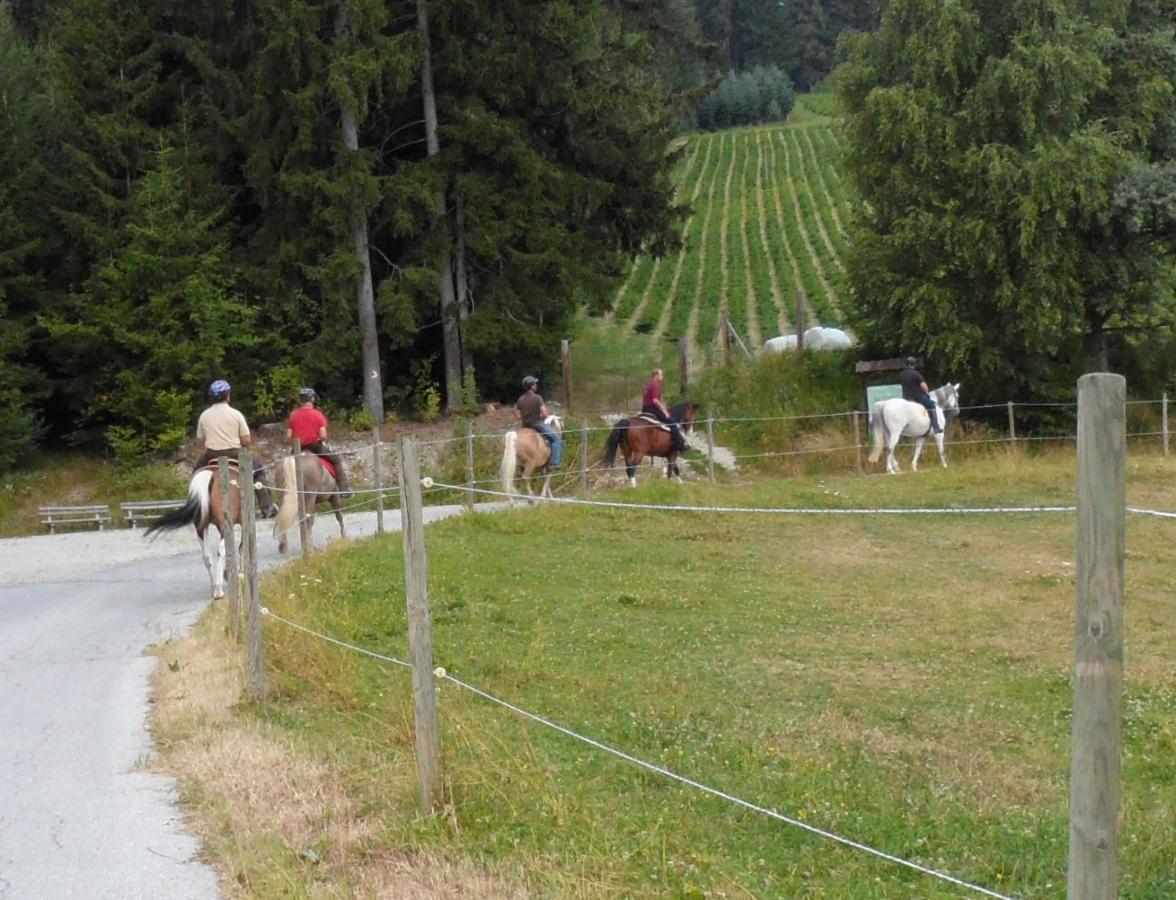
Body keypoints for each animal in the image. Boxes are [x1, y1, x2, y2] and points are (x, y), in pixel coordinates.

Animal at [143, 463, 276, 597]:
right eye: (265, 487)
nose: (271, 510)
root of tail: (210, 476)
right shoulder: (243, 523)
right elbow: (242, 547)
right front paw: (240, 574)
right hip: (222, 526)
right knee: (221, 550)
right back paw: (219, 590)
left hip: (201, 527)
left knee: (206, 556)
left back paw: (214, 586)